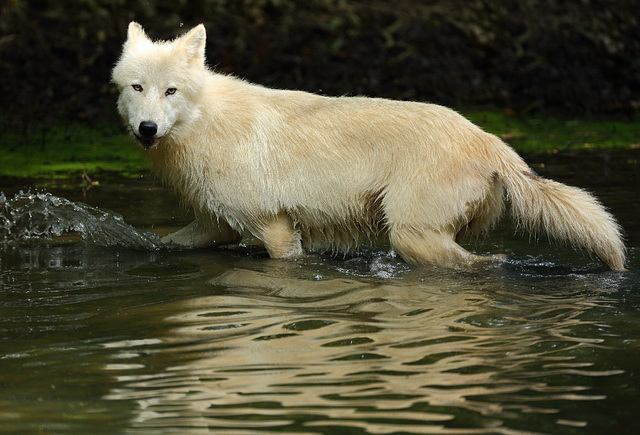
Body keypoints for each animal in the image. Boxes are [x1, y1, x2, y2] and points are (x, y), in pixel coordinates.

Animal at [111, 23, 624, 272]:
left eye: (171, 91)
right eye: (137, 88)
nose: (148, 129)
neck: (204, 123)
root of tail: (490, 140)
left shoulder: (274, 228)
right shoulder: (214, 225)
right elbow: (165, 243)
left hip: (411, 237)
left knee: (481, 264)